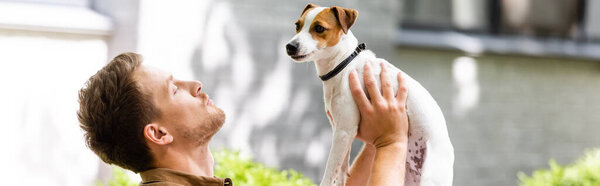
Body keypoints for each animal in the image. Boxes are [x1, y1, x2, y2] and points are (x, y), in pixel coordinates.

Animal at [286, 3, 454, 186]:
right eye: (297, 25)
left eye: (319, 28)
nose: (290, 46)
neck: (344, 64)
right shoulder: (342, 131)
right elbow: (342, 168)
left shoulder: (343, 131)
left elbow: (330, 171)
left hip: (431, 176)